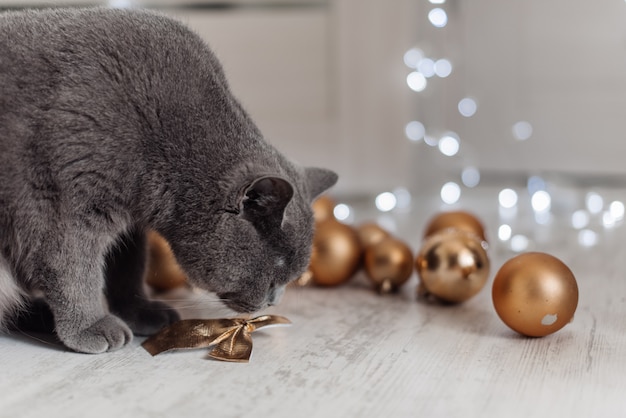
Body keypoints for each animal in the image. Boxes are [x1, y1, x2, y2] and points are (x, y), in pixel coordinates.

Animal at [0, 7, 336, 352]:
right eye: (274, 275)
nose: (273, 302)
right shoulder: (66, 204)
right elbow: (73, 268)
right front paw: (89, 326)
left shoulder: (130, 224)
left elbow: (128, 267)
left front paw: (139, 311)